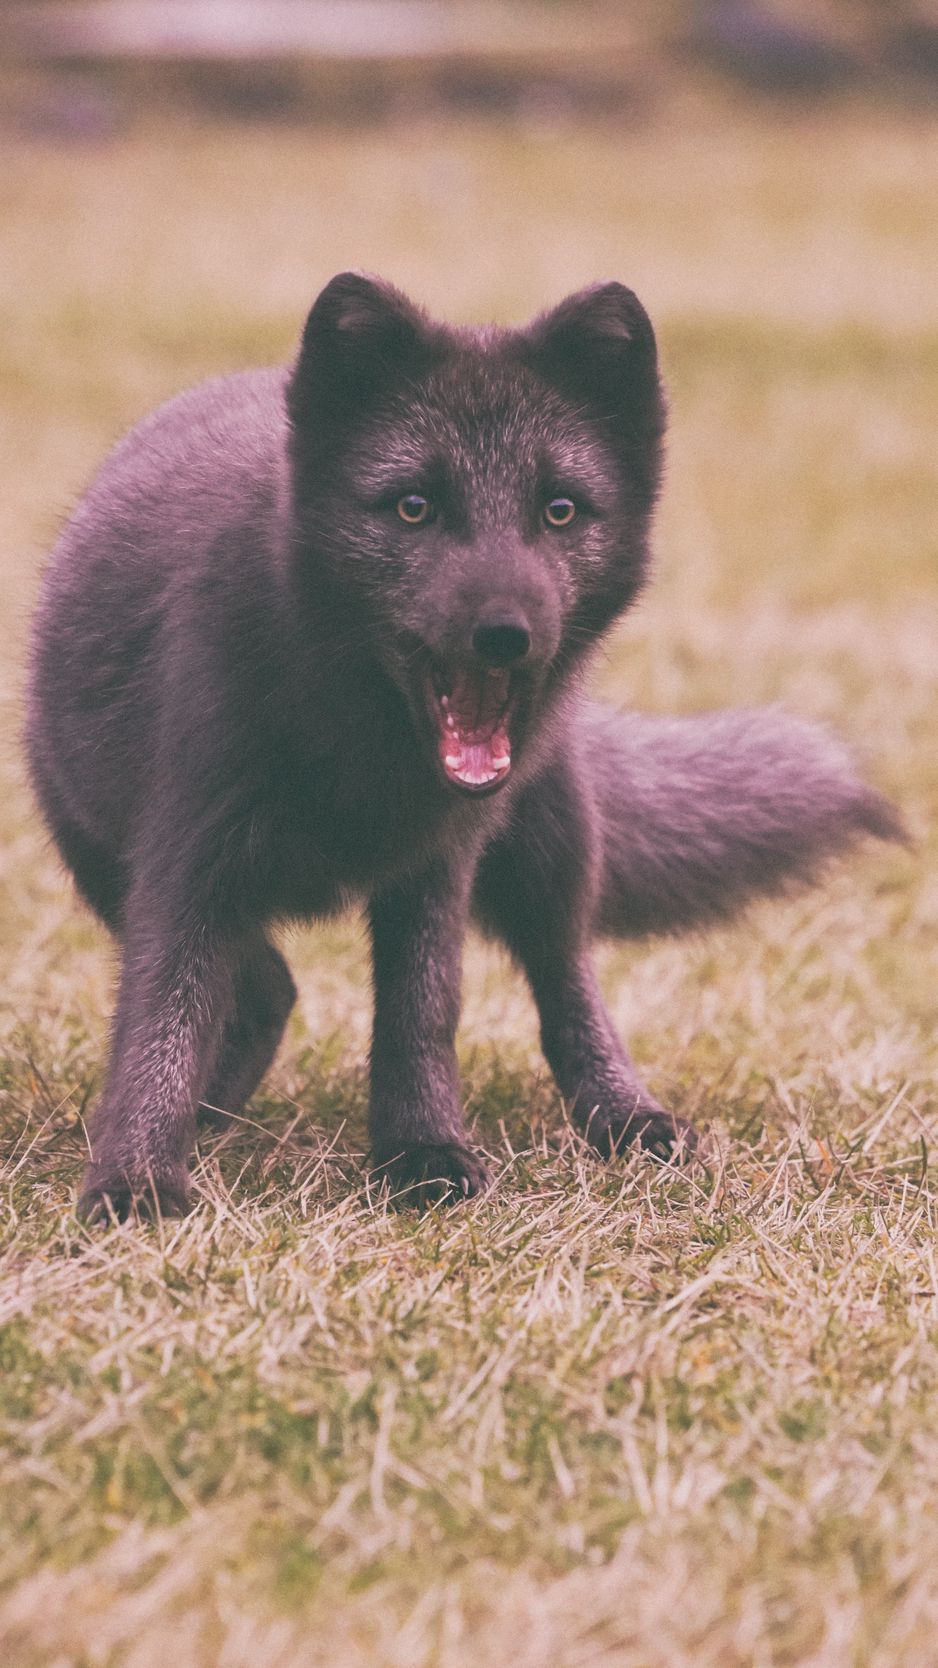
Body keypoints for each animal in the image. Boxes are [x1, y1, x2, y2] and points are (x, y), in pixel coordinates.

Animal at [26, 272, 902, 1220]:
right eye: (414, 507)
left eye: (559, 510)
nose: (505, 636)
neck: (358, 752)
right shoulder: (185, 861)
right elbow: (162, 1021)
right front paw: (136, 1183)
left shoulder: (437, 863)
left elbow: (422, 1013)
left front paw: (423, 1153)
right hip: (100, 862)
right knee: (265, 986)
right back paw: (211, 1114)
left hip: (551, 841)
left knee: (566, 978)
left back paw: (625, 1119)